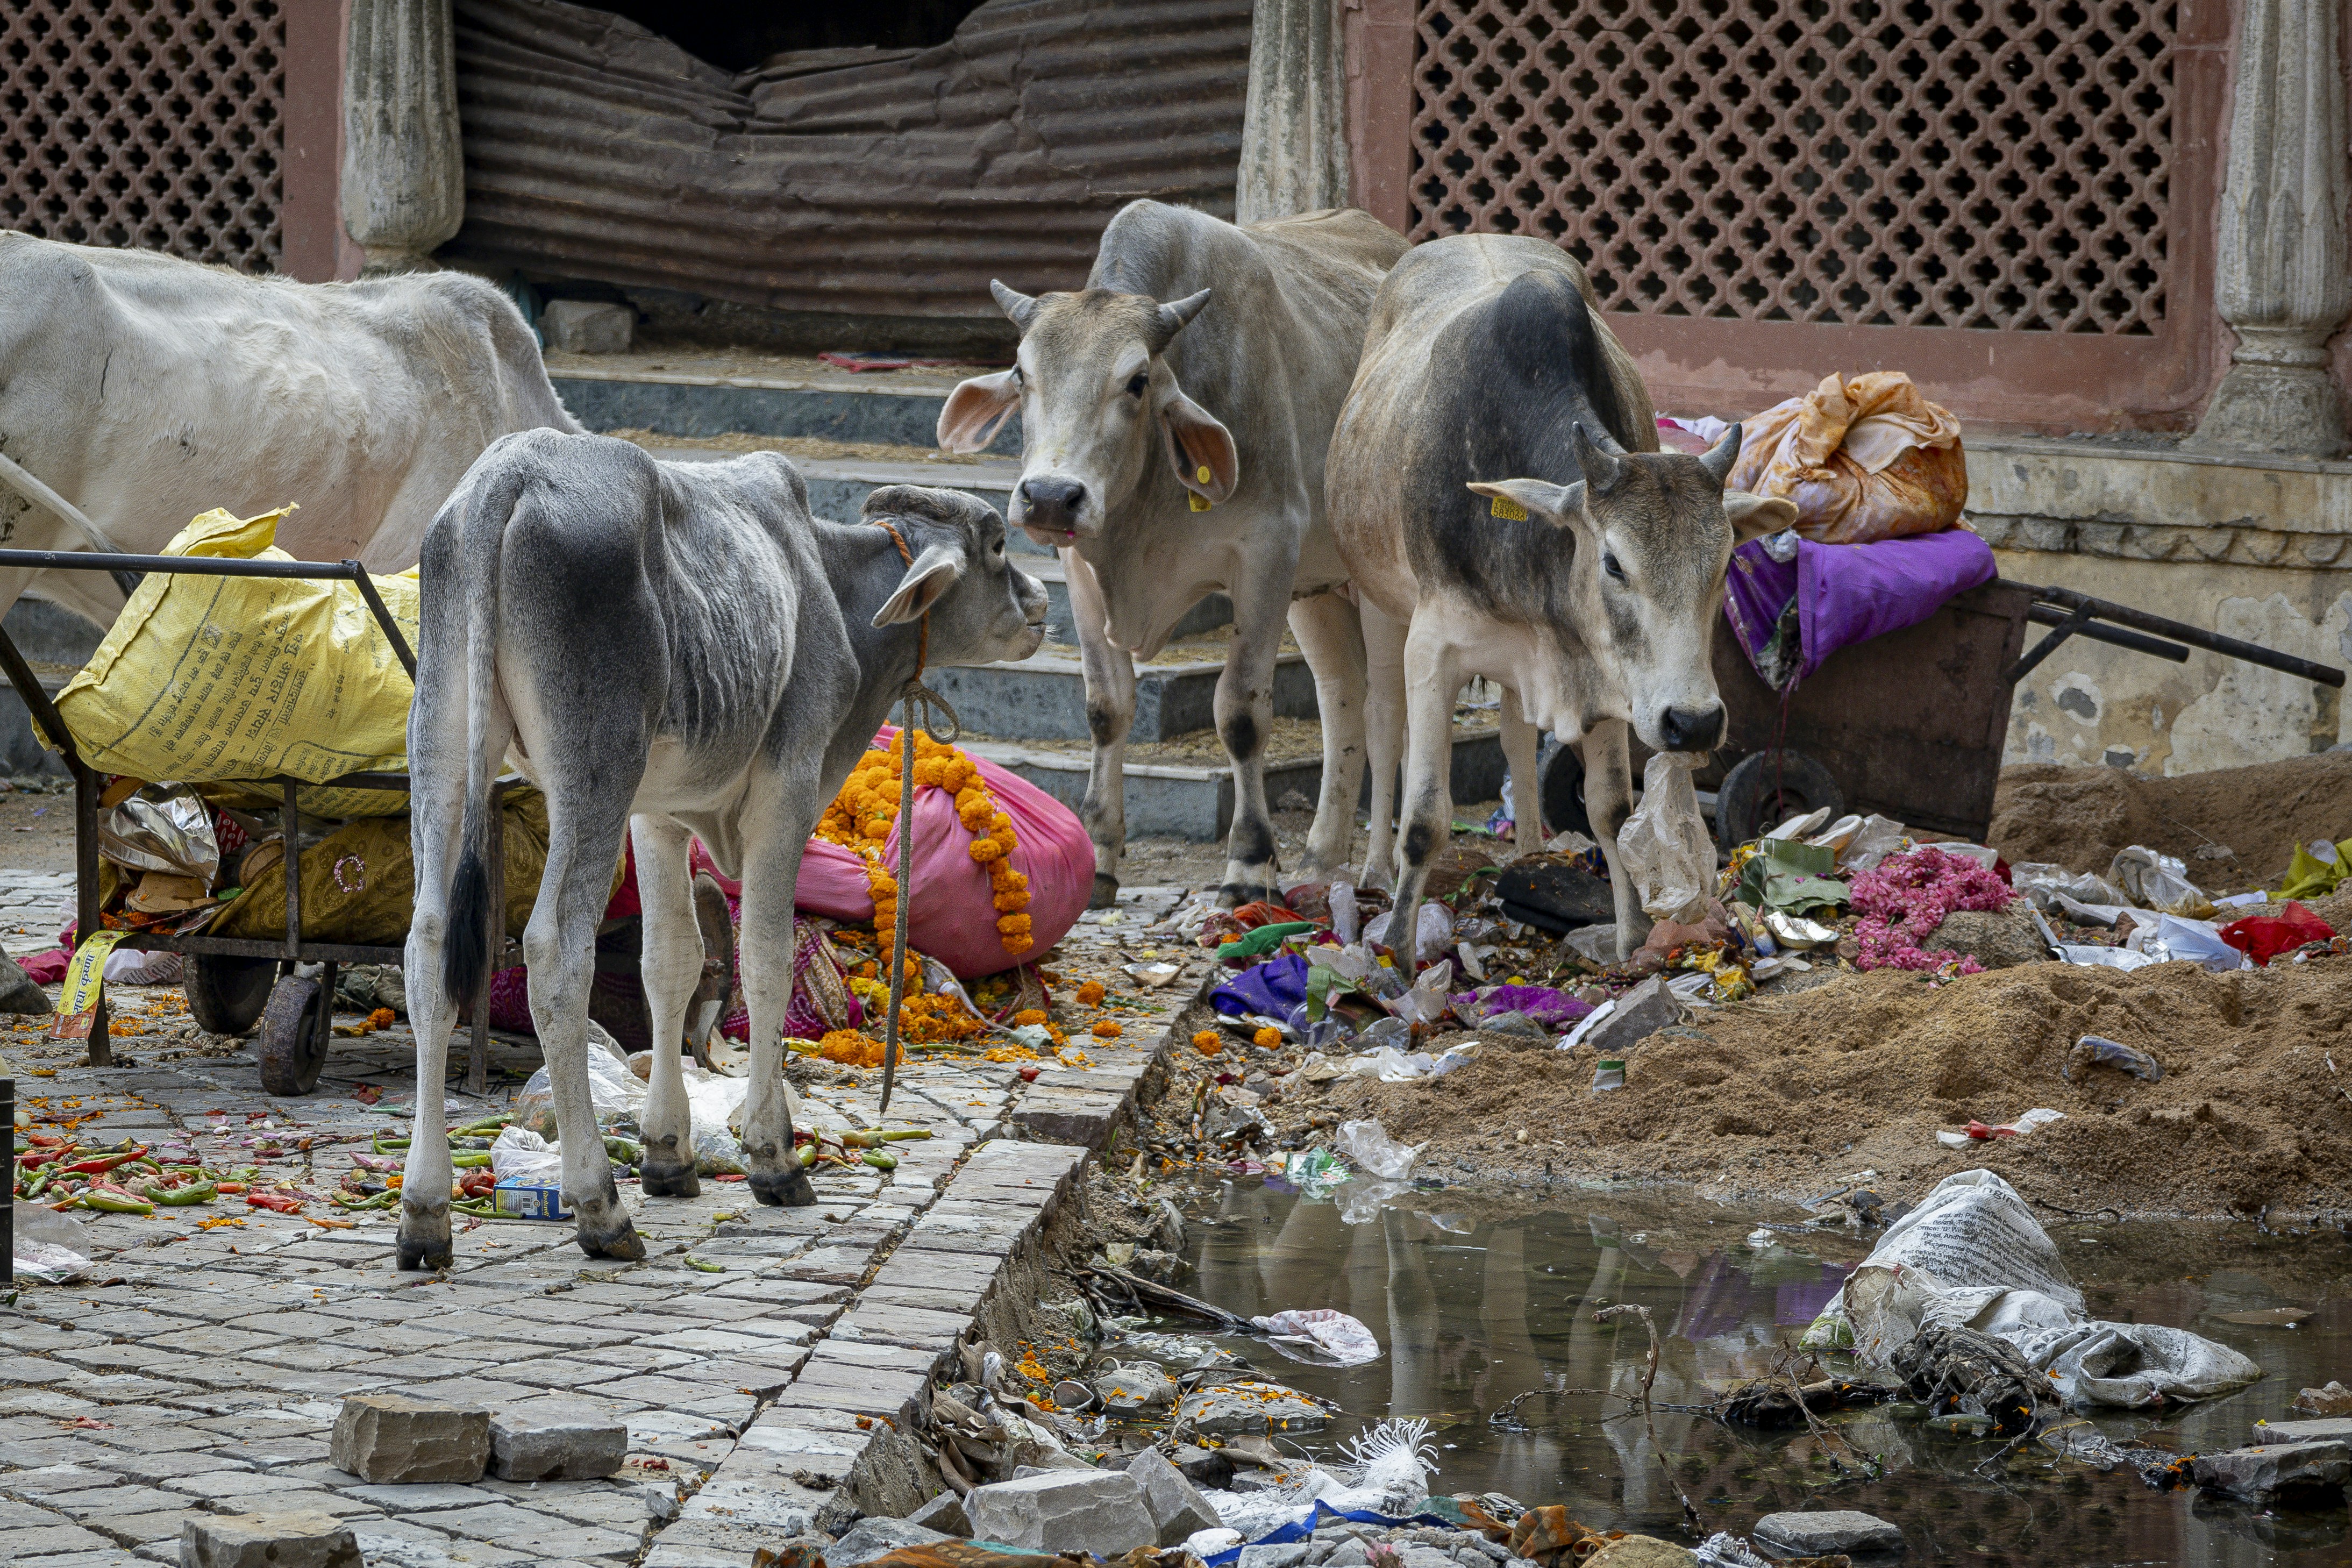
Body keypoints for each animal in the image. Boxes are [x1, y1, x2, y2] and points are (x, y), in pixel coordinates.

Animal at [398, 443, 1046, 1266]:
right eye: (996, 545)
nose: (1039, 604)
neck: (833, 588)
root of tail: (506, 475)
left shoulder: (656, 815)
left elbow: (670, 962)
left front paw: (667, 1153)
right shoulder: (786, 792)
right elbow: (763, 962)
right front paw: (774, 1158)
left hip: (442, 745)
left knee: (428, 947)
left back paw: (424, 1212)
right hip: (593, 771)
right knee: (554, 951)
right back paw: (599, 1206)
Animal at [937, 201, 1408, 908]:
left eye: (1137, 382)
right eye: (1022, 376)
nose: (1051, 497)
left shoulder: (1267, 553)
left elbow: (1241, 713)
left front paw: (1249, 864)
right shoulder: (1082, 573)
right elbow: (1106, 709)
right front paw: (1101, 857)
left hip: (1380, 587)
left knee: (1387, 710)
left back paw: (1381, 870)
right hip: (1318, 588)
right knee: (1342, 698)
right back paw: (1322, 859)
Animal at [1326, 234, 1797, 961]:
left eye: (1724, 565)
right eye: (1614, 563)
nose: (1693, 724)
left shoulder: (1602, 672)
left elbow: (1610, 810)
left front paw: (1634, 941)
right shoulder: (1432, 648)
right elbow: (1426, 816)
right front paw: (1399, 952)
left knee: (1517, 737)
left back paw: (1528, 852)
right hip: (1377, 602)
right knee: (1382, 722)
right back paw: (1376, 871)